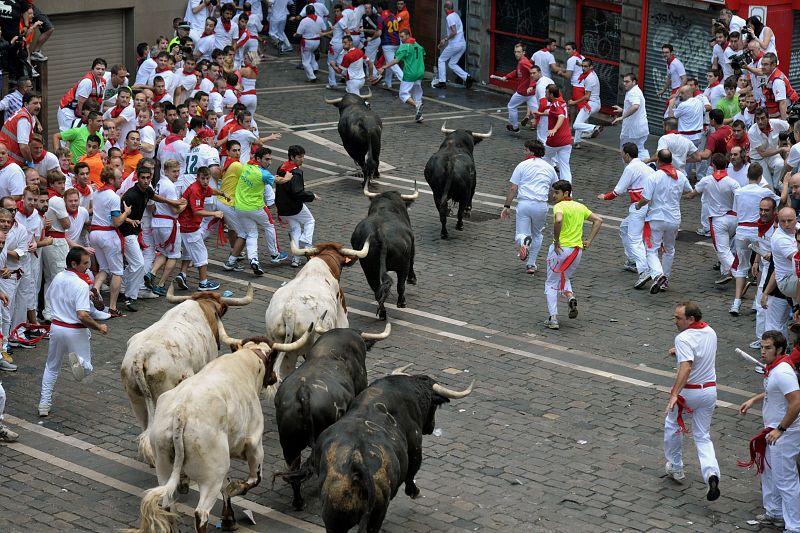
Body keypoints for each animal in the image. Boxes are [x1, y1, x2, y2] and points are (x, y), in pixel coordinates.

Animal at [127, 330, 310, 528]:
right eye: (273, 357)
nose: (275, 377)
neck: (246, 361)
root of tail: (181, 412)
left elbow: (226, 484)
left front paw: (228, 517)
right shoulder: (254, 445)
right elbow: (253, 480)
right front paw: (236, 489)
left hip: (165, 466)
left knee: (167, 506)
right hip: (211, 476)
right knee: (201, 513)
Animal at [314, 374, 476, 532]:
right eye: (434, 405)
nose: (431, 427)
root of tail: (356, 464)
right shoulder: (415, 447)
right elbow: (411, 473)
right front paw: (414, 492)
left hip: (335, 522)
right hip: (375, 517)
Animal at [354, 187, 422, 320]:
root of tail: (379, 234)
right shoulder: (412, 247)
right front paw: (412, 279)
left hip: (369, 269)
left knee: (376, 289)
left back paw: (382, 313)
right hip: (402, 265)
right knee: (400, 285)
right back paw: (401, 303)